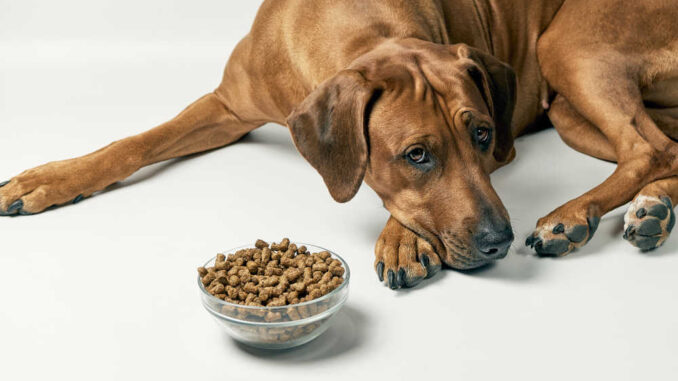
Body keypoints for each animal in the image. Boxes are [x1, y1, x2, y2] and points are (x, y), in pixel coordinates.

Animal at [1, 0, 678, 288]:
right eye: (417, 154)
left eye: (485, 136)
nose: (497, 242)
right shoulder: (225, 106)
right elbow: (135, 142)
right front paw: (50, 178)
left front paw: (401, 240)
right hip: (569, 106)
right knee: (663, 147)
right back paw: (654, 210)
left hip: (570, 47)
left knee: (647, 149)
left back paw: (574, 216)